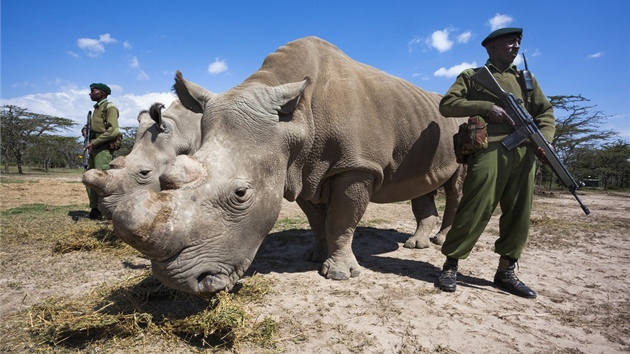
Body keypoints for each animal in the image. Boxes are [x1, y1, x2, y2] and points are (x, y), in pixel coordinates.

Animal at [111, 37, 466, 294]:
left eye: (241, 194)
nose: (178, 281)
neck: (298, 122)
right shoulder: (302, 171)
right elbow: (317, 220)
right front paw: (314, 256)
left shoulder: (355, 167)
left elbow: (341, 220)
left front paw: (339, 274)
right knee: (422, 184)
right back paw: (416, 244)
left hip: (459, 127)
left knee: (456, 187)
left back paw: (439, 241)